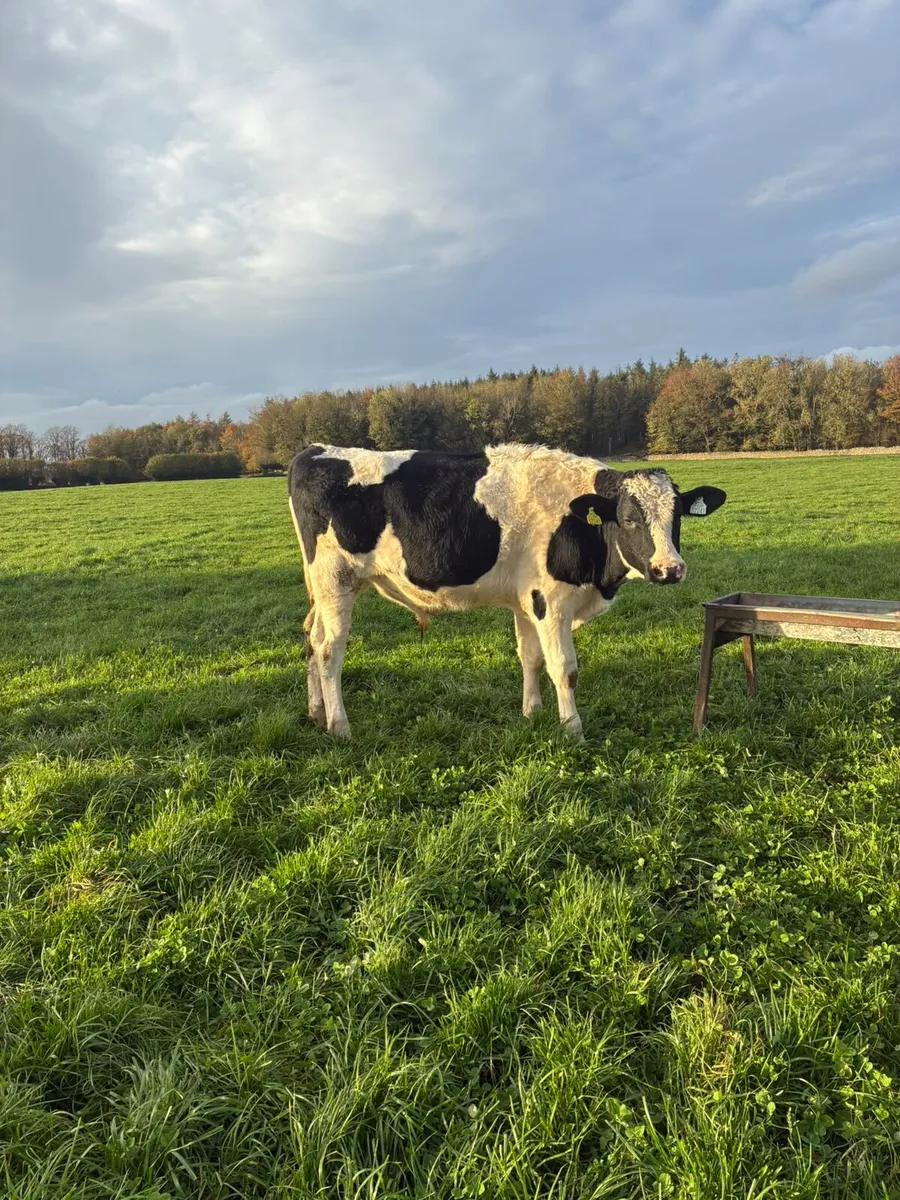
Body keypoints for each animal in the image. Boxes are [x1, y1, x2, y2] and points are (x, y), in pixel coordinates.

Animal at [288, 443, 727, 739]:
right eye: (630, 518)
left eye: (678, 516)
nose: (669, 569)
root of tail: (316, 449)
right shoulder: (552, 602)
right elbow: (564, 668)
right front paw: (573, 729)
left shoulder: (526, 600)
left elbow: (530, 658)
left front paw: (532, 713)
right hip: (335, 580)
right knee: (329, 651)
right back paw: (339, 725)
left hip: (328, 589)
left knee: (311, 638)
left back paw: (315, 712)